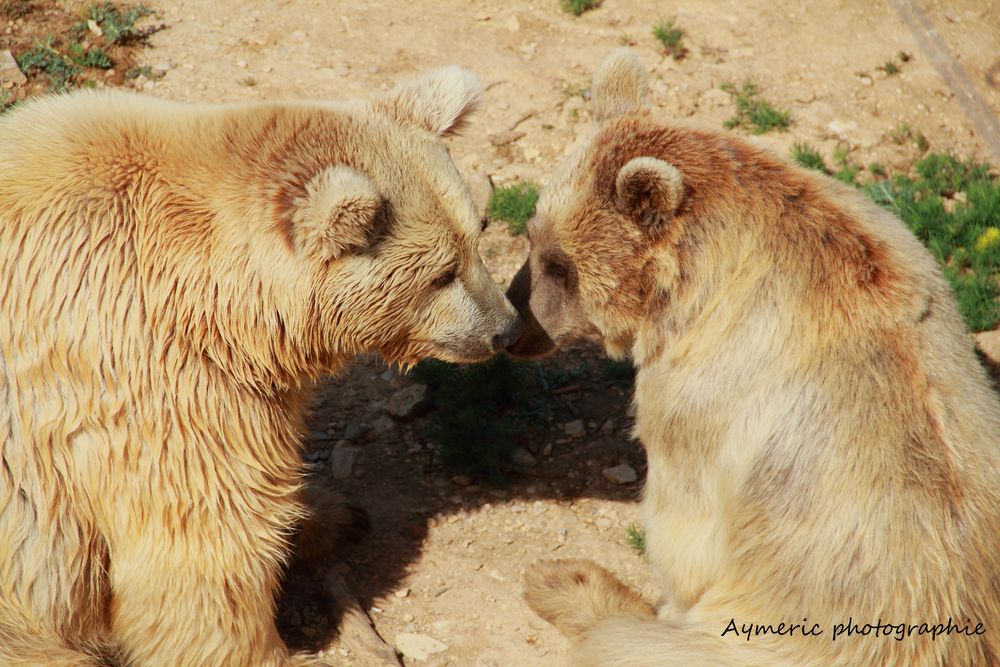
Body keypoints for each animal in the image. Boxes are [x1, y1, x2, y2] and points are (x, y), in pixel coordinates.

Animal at [0, 69, 520, 667]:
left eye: (477, 234)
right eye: (441, 274)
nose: (506, 328)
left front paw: (333, 515)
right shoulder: (147, 376)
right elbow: (207, 547)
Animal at [508, 51, 1000, 667]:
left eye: (559, 265)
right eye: (533, 238)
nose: (515, 325)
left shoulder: (702, 391)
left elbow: (685, 531)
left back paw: (568, 582)